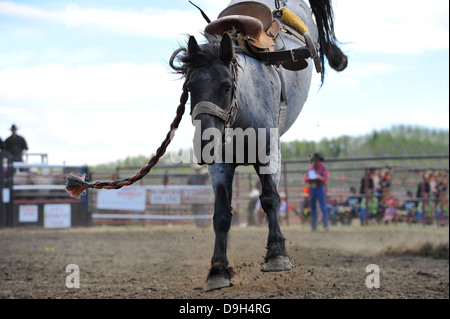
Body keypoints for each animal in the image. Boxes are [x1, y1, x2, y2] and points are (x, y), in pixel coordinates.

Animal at [65, 0, 348, 292]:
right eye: (190, 87)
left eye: (226, 86)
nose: (205, 144)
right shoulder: (220, 166)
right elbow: (221, 214)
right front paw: (218, 270)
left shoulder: (270, 153)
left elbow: (270, 199)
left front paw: (277, 255)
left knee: (323, 39)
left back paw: (338, 58)